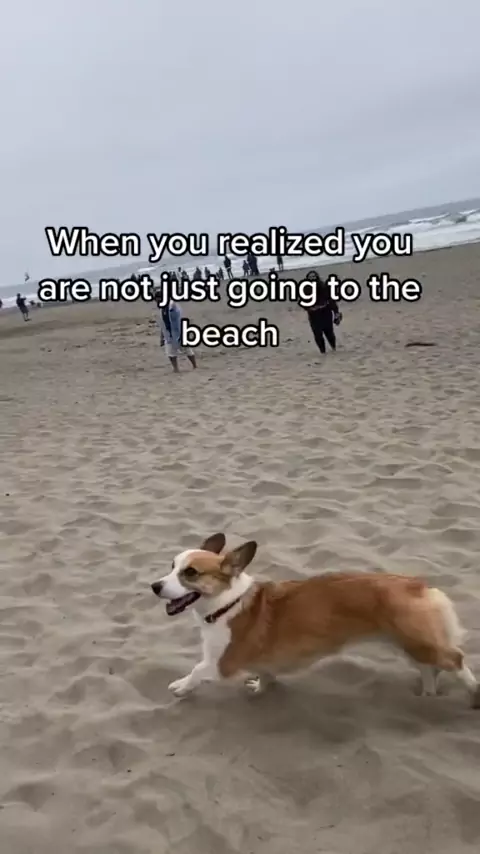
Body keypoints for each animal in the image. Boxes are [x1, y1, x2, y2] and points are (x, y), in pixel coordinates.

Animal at [151, 533, 480, 706]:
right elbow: (266, 676)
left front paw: (180, 686)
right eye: (171, 566)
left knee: (456, 659)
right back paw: (427, 694)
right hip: (409, 644)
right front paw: (260, 688)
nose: (154, 586)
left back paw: (473, 692)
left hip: (417, 642)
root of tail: (417, 584)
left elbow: (196, 671)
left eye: (190, 573)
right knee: (429, 667)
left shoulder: (222, 663)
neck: (226, 603)